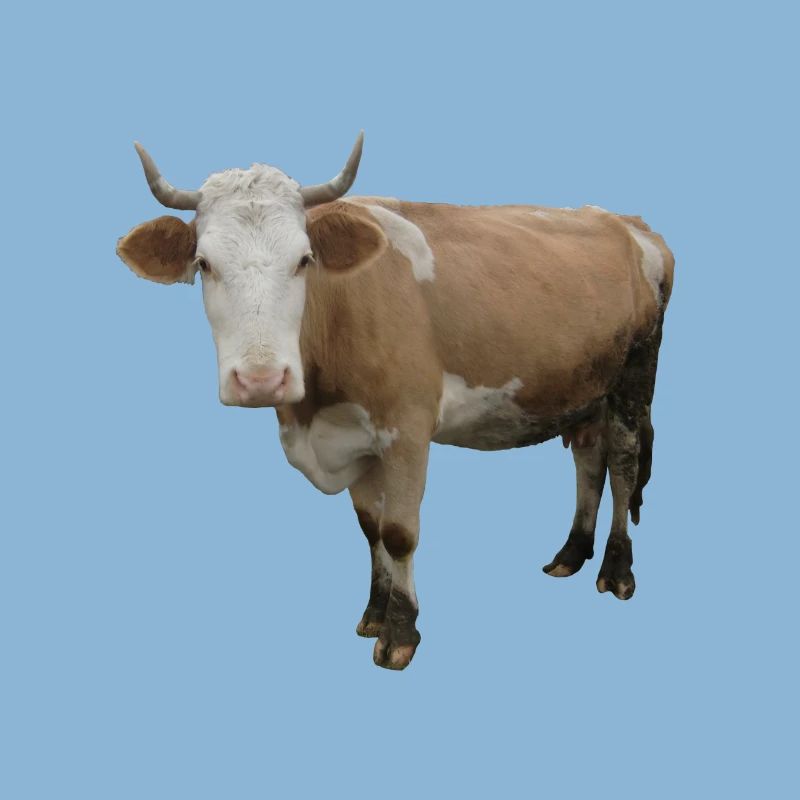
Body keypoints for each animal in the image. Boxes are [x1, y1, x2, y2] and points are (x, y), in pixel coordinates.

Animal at [117, 132, 674, 670]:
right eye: (204, 263)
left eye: (304, 260)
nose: (260, 380)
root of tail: (628, 223)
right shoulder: (352, 437)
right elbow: (372, 531)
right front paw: (374, 613)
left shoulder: (407, 428)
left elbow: (401, 532)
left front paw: (400, 634)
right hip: (583, 386)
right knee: (588, 461)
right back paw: (571, 554)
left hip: (634, 378)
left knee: (623, 467)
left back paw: (617, 572)